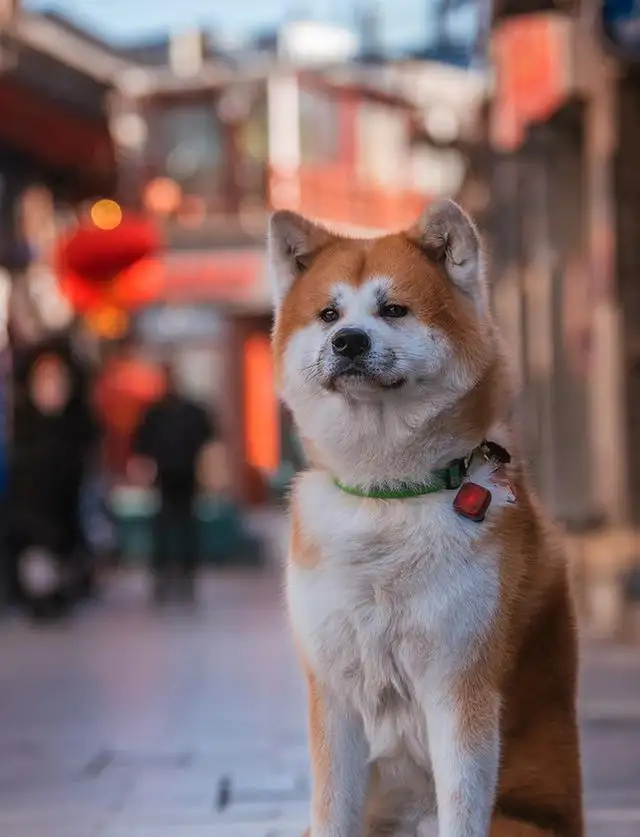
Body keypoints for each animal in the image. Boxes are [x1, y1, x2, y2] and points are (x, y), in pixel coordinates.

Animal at [268, 202, 584, 836]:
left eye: (394, 309)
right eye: (328, 314)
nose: (348, 340)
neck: (387, 497)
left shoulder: (459, 683)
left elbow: (461, 805)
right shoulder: (333, 691)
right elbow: (332, 810)